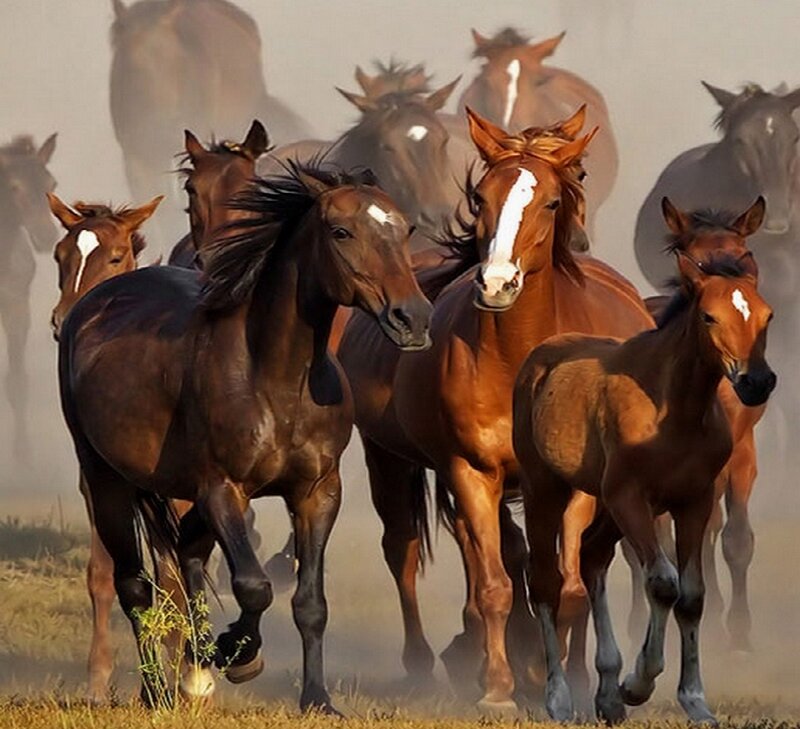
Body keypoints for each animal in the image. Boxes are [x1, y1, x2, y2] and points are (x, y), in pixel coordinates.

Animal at [57, 162, 432, 710]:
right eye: (341, 232)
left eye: (405, 230)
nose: (413, 318)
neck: (276, 378)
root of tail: (92, 305)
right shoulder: (223, 489)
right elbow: (254, 584)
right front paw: (238, 652)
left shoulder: (318, 492)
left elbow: (310, 601)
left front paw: (316, 697)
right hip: (105, 480)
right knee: (134, 585)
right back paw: (157, 691)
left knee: (187, 554)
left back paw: (191, 672)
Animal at [337, 108, 652, 709]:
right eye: (481, 196)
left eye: (550, 201)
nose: (497, 282)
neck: (518, 360)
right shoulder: (472, 471)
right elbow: (495, 585)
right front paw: (499, 687)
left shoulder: (573, 487)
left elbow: (567, 585)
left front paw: (563, 680)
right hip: (390, 459)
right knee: (405, 550)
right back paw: (428, 662)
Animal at [513, 253, 775, 724]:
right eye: (709, 316)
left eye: (767, 315)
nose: (757, 382)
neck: (673, 409)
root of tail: (540, 356)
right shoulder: (632, 498)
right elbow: (663, 583)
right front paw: (637, 683)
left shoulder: (693, 501)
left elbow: (691, 595)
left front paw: (695, 701)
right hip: (547, 489)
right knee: (543, 578)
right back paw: (559, 698)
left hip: (607, 508)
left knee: (592, 558)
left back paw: (606, 693)